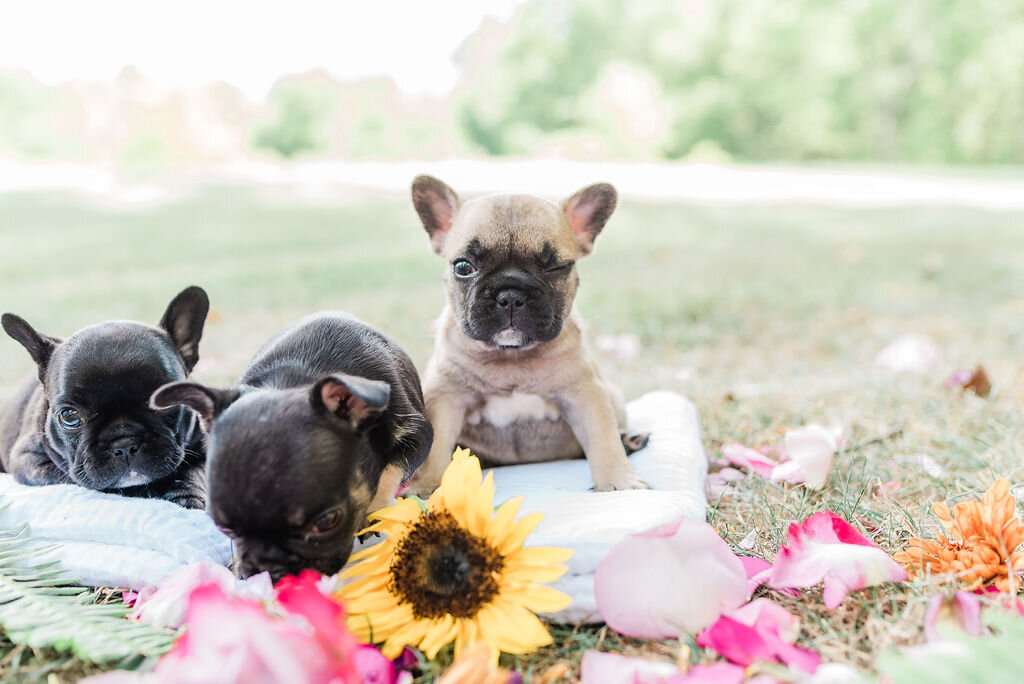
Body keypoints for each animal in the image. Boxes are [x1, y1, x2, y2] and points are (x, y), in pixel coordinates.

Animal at [150, 313, 432, 581]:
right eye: (224, 528)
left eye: (327, 522)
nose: (270, 570)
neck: (296, 380)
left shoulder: (417, 435)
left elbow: (390, 472)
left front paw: (373, 511)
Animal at [405, 176, 647, 497]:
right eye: (463, 266)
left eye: (556, 266)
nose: (510, 294)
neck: (513, 357)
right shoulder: (446, 396)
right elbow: (435, 448)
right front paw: (424, 488)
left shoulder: (585, 394)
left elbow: (602, 438)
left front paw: (619, 481)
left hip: (614, 396)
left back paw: (628, 441)